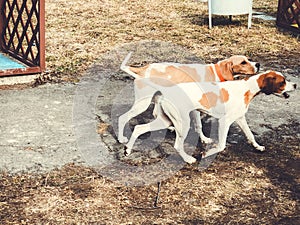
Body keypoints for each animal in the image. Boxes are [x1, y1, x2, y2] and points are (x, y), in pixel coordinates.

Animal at [118, 52, 258, 143]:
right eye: (243, 62)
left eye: (248, 59)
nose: (258, 64)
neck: (214, 72)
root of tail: (143, 69)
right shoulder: (196, 108)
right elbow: (199, 125)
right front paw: (204, 139)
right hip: (142, 104)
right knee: (122, 118)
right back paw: (121, 139)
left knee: (155, 114)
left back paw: (170, 127)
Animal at [123, 71, 296, 163]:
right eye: (283, 81)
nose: (295, 85)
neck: (246, 88)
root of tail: (166, 92)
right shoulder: (224, 122)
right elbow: (222, 145)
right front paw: (206, 153)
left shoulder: (240, 119)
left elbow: (251, 136)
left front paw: (258, 147)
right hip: (182, 123)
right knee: (177, 145)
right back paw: (188, 159)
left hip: (165, 121)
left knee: (139, 128)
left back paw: (127, 150)